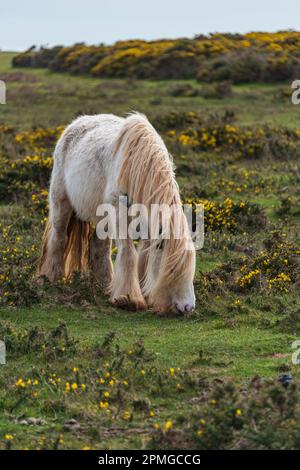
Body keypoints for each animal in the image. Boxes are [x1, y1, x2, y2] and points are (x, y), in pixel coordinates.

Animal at [37, 112, 196, 314]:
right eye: (173, 269)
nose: (188, 307)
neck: (138, 165)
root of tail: (75, 125)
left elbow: (144, 255)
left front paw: (143, 292)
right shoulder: (120, 214)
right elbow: (129, 253)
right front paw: (129, 298)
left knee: (99, 247)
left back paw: (105, 284)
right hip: (61, 204)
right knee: (59, 239)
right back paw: (52, 278)